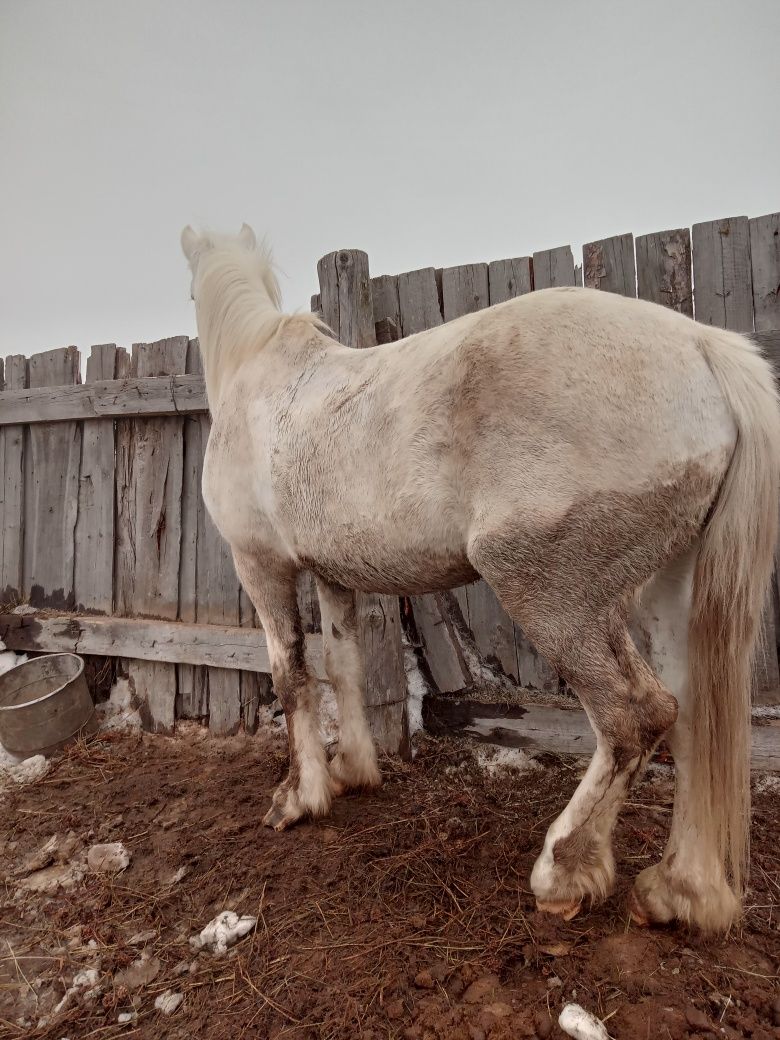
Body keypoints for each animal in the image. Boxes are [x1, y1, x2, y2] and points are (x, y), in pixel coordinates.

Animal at [183, 223, 780, 931]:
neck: (261, 374)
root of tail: (703, 349)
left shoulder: (261, 565)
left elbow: (292, 676)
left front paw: (299, 798)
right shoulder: (334, 575)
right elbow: (344, 664)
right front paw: (353, 770)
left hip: (550, 595)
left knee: (635, 718)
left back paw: (563, 871)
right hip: (670, 590)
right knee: (690, 720)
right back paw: (677, 889)